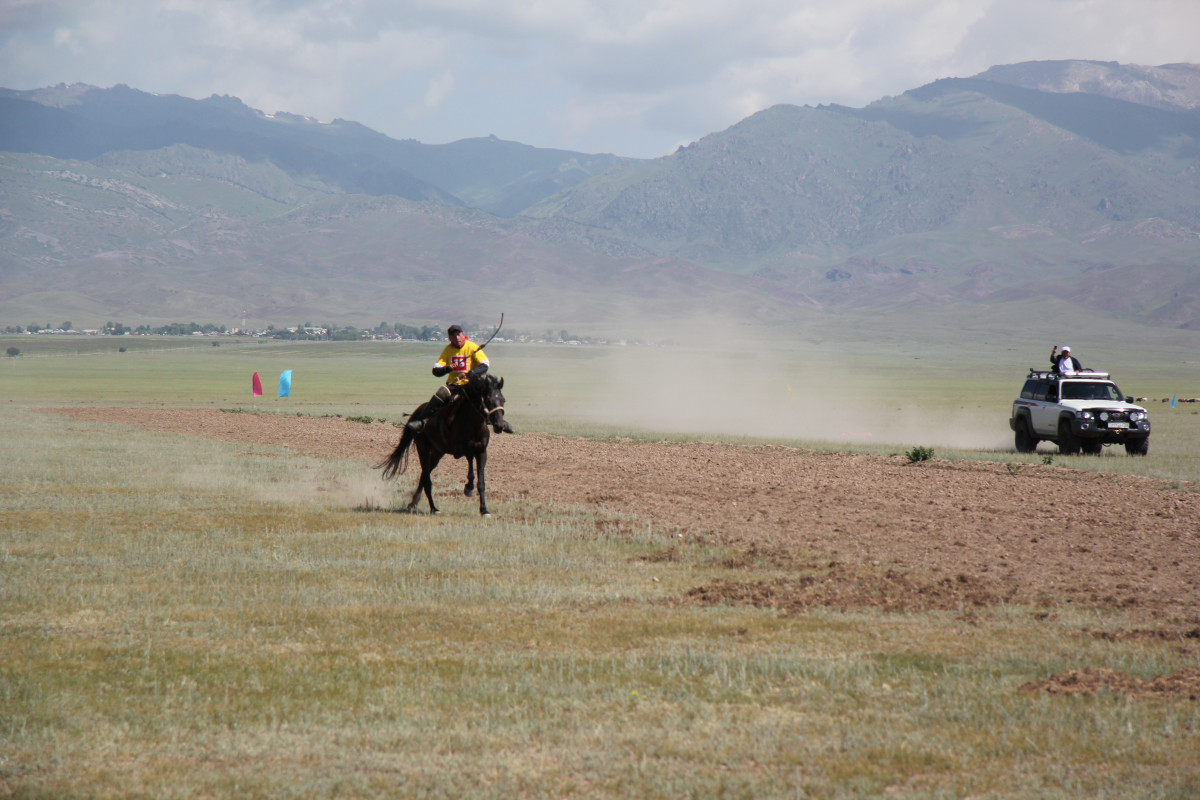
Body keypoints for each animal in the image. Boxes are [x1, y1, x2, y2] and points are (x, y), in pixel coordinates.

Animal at [374, 371, 506, 515]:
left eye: (503, 400)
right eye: (488, 400)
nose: (499, 426)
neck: (473, 424)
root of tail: (418, 413)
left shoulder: (482, 452)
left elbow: (481, 483)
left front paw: (484, 510)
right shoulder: (459, 450)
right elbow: (470, 462)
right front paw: (468, 487)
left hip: (438, 452)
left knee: (424, 475)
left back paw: (413, 503)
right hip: (423, 448)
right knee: (426, 478)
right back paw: (433, 508)